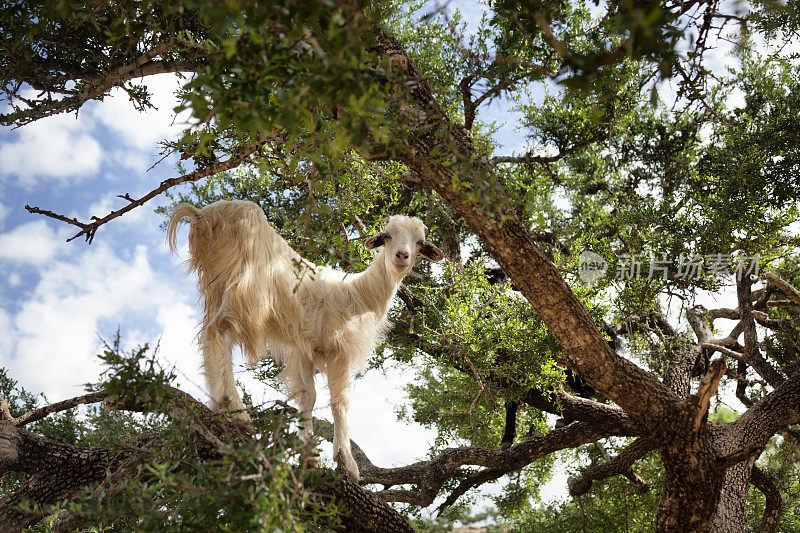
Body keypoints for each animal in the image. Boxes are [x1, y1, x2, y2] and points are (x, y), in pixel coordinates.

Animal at [168, 198, 444, 478]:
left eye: (420, 242)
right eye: (387, 236)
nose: (402, 256)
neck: (357, 295)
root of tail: (204, 216)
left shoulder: (304, 348)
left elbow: (307, 397)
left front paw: (309, 455)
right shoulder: (338, 350)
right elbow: (340, 403)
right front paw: (347, 462)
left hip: (216, 287)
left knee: (208, 336)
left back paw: (216, 406)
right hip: (247, 293)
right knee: (219, 332)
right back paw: (237, 411)